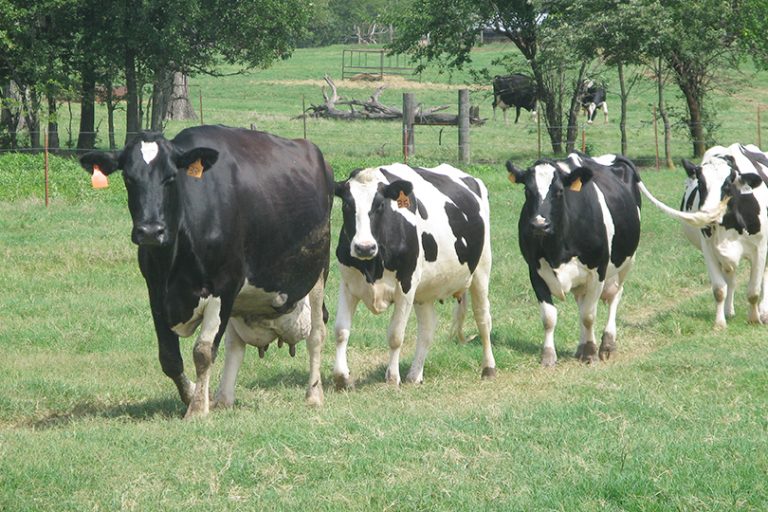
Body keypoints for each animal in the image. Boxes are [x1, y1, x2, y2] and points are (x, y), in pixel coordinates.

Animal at [79, 125, 333, 418]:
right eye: (129, 178)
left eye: (170, 177)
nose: (151, 231)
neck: (173, 261)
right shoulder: (156, 291)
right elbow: (169, 358)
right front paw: (193, 395)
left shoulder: (223, 286)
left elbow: (203, 351)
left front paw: (198, 409)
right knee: (235, 344)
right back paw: (224, 398)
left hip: (317, 272)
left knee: (317, 333)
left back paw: (314, 395)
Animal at [332, 163, 496, 388]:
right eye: (347, 205)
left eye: (380, 205)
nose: (364, 247)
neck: (373, 266)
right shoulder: (348, 284)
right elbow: (341, 331)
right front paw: (342, 377)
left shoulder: (406, 286)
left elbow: (395, 335)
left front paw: (392, 378)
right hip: (424, 291)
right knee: (427, 328)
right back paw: (414, 375)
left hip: (481, 270)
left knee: (483, 318)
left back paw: (488, 368)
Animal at [506, 153, 642, 366]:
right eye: (527, 190)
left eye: (560, 191)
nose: (539, 225)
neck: (557, 250)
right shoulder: (535, 271)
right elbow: (549, 317)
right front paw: (548, 355)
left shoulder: (598, 271)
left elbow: (588, 315)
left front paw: (591, 353)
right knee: (582, 301)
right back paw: (582, 346)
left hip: (626, 262)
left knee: (614, 296)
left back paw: (607, 345)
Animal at [647, 144, 768, 328]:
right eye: (700, 183)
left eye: (727, 184)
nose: (708, 212)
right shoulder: (709, 249)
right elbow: (719, 289)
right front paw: (719, 323)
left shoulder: (760, 248)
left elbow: (753, 290)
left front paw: (754, 319)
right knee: (730, 278)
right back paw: (729, 311)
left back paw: (764, 312)